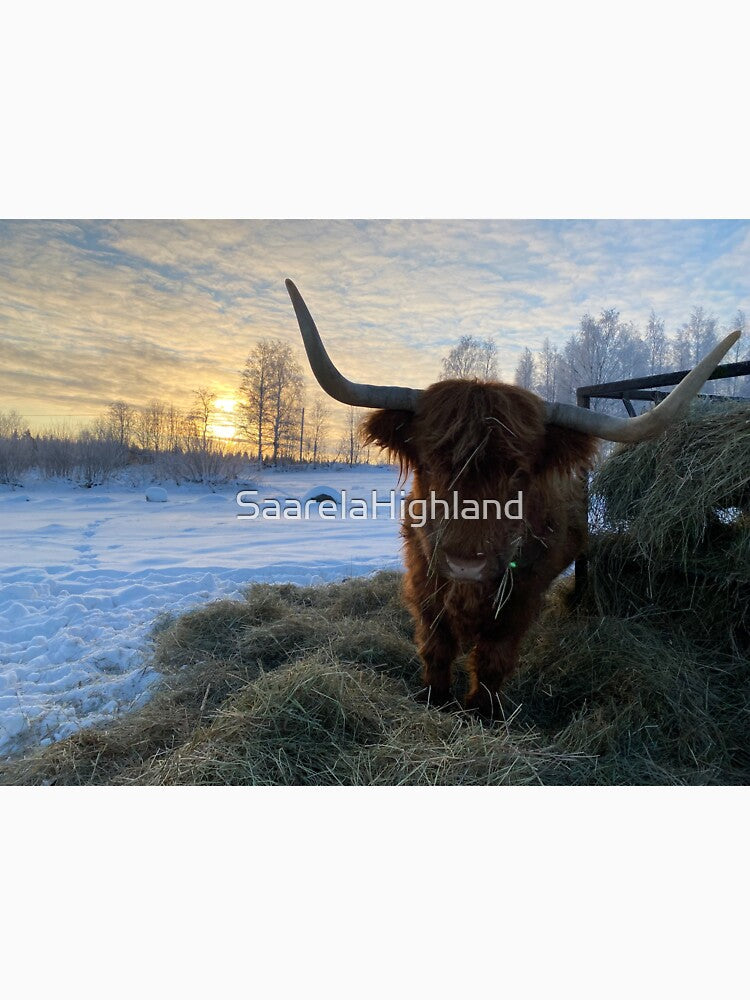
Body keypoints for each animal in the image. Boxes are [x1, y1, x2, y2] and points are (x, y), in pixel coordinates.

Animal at [286, 279, 740, 718]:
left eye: (519, 474)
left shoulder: (521, 597)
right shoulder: (424, 581)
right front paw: (435, 699)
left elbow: (493, 660)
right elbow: (435, 649)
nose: (466, 564)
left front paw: (483, 712)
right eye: (429, 464)